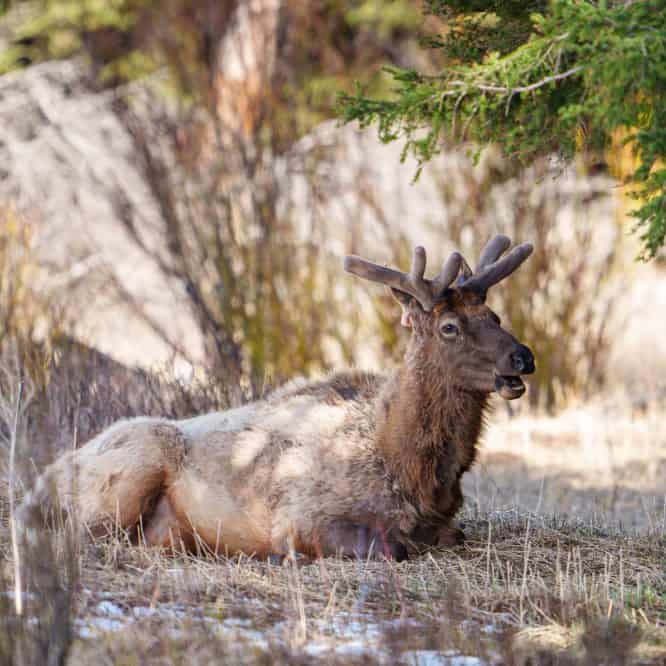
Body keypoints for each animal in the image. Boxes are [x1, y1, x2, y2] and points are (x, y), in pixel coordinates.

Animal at [21, 234, 534, 560]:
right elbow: (392, 548)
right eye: (449, 327)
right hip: (129, 471)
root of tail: (41, 482)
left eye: (494, 315)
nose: (523, 356)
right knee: (81, 535)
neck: (409, 465)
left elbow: (453, 536)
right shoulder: (301, 515)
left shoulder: (447, 522)